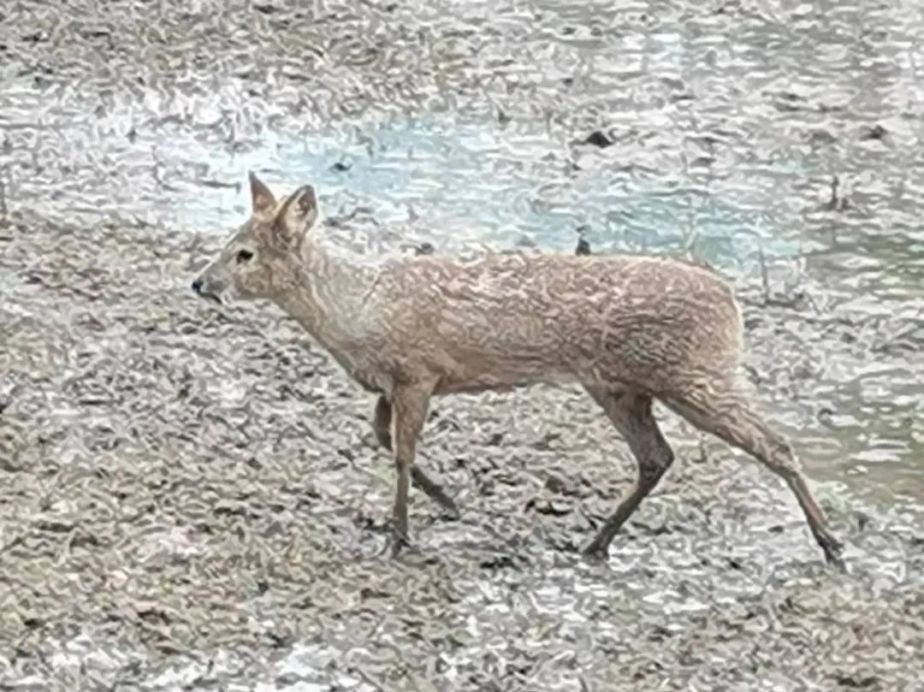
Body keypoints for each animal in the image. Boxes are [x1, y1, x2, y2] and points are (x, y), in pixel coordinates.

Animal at [193, 173, 844, 568]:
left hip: (696, 374)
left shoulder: (418, 371)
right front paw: (448, 500)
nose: (200, 282)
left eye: (244, 254)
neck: (356, 308)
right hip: (619, 387)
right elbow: (380, 438)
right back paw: (596, 541)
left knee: (775, 443)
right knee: (657, 457)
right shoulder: (390, 381)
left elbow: (399, 451)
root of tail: (731, 303)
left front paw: (400, 533)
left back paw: (831, 542)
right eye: (228, 243)